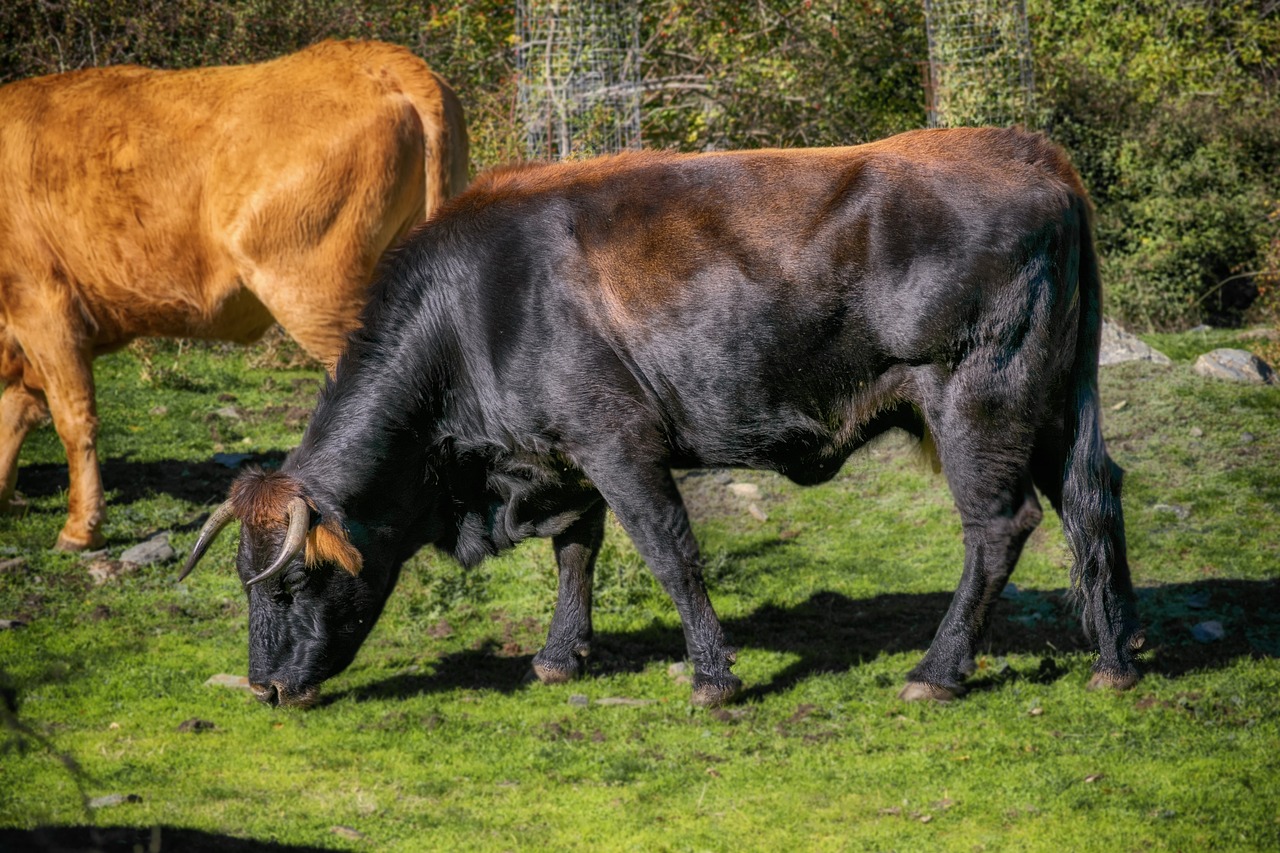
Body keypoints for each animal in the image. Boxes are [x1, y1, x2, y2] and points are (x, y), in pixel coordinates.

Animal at [0, 39, 468, 548]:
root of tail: (379, 55)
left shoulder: (42, 305)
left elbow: (72, 418)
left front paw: (81, 527)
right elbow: (15, 408)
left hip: (318, 293)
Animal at [177, 126, 1141, 706]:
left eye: (292, 584)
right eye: (243, 581)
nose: (265, 687)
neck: (476, 306)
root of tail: (1028, 152)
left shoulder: (618, 443)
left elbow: (668, 550)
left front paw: (713, 678)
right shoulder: (561, 458)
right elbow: (576, 552)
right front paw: (560, 655)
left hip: (980, 406)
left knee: (1000, 526)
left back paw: (938, 671)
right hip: (1056, 410)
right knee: (1095, 500)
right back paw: (1115, 659)